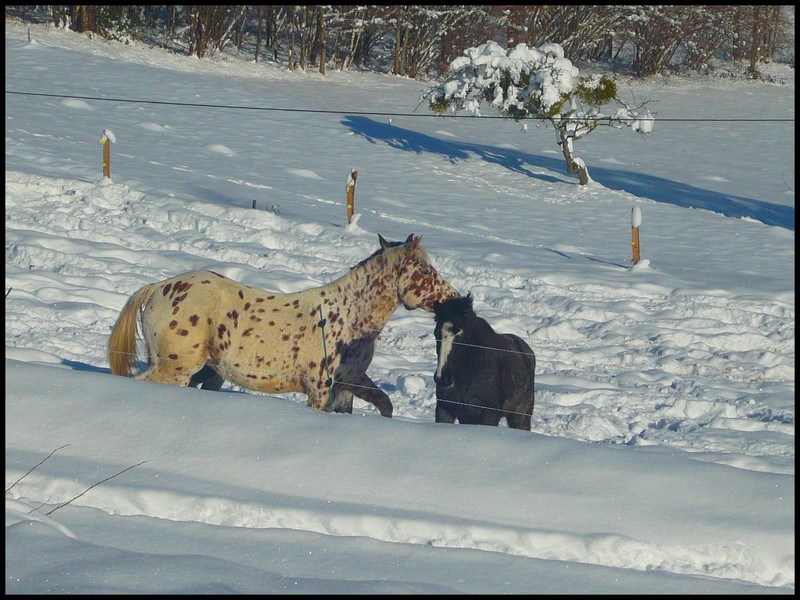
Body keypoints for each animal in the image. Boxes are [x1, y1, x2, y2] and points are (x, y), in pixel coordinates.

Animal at [108, 233, 460, 418]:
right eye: (425, 271)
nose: (454, 298)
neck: (348, 317)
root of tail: (158, 288)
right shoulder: (320, 391)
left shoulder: (349, 383)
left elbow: (384, 403)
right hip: (175, 369)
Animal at [432, 294, 536, 426]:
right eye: (436, 334)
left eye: (459, 335)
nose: (443, 378)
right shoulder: (445, 410)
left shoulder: (490, 414)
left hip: (521, 414)